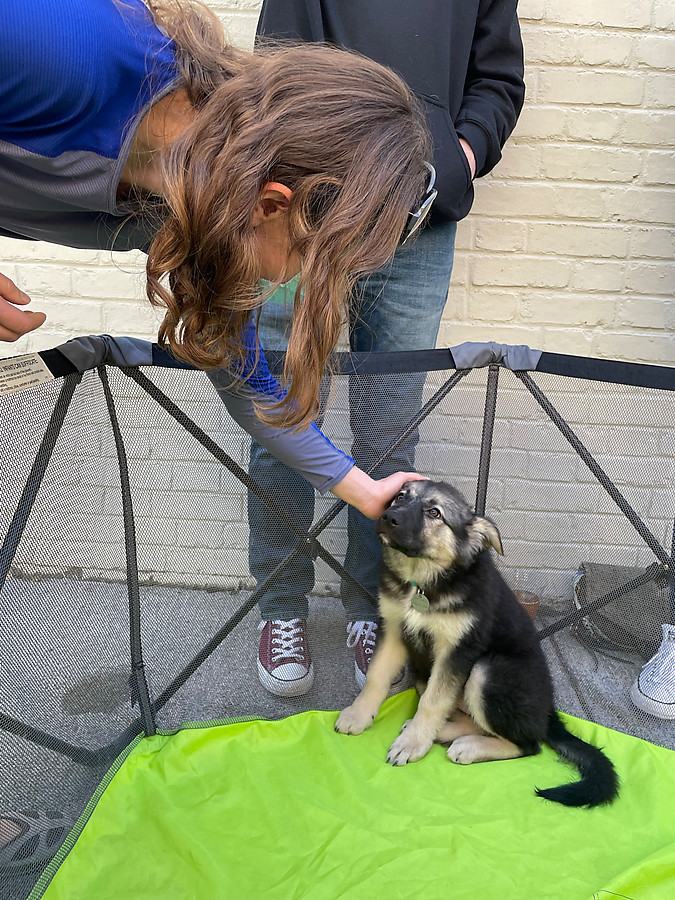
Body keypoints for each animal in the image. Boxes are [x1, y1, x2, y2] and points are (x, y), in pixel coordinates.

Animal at [336, 482, 620, 804]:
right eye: (400, 496)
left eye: (435, 513)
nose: (388, 517)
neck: (424, 581)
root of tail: (548, 714)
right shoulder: (394, 628)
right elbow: (377, 677)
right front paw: (359, 715)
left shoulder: (457, 650)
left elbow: (433, 701)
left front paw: (412, 744)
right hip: (425, 673)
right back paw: (444, 732)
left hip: (488, 672)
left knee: (528, 744)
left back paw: (469, 746)